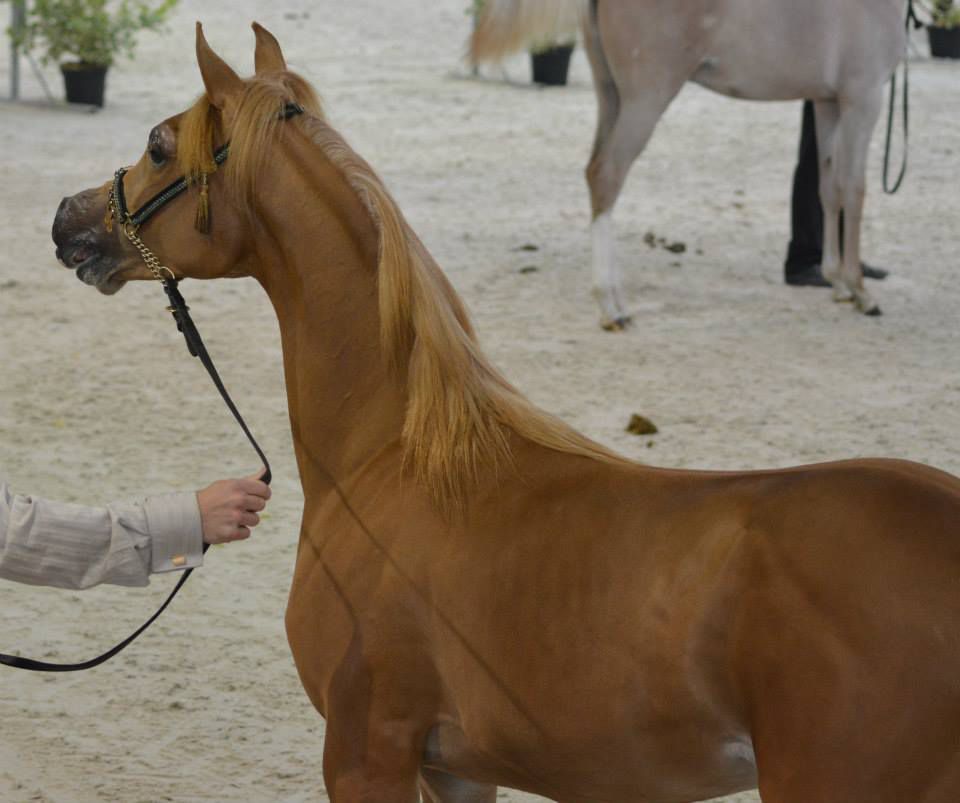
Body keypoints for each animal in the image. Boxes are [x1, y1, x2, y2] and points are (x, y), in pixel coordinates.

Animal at [470, 0, 908, 328]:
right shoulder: (863, 99)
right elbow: (854, 189)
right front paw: (860, 291)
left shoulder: (827, 102)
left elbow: (828, 188)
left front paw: (837, 283)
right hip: (646, 100)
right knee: (608, 175)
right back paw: (611, 306)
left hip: (610, 96)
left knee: (595, 173)